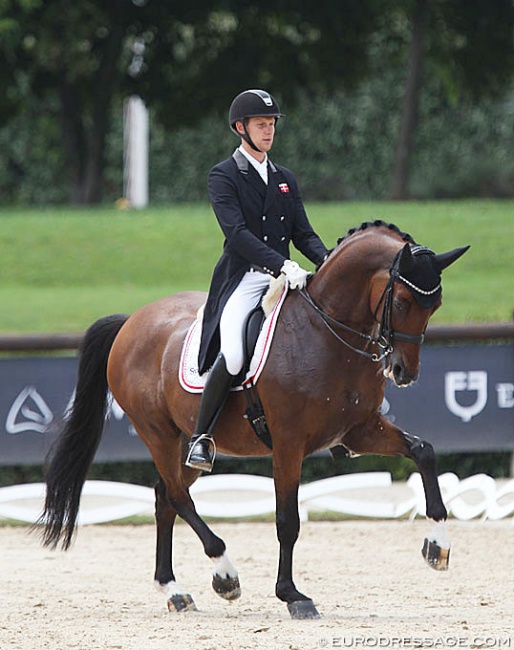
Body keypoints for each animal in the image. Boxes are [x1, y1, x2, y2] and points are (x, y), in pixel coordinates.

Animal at [37, 221, 468, 616]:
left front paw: (438, 546)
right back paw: (224, 575)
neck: (326, 331)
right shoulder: (289, 443)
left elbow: (423, 450)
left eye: (435, 306)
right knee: (176, 496)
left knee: (165, 497)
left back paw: (174, 590)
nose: (403, 372)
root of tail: (131, 321)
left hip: (187, 441)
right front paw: (292, 595)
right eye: (403, 302)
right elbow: (287, 520)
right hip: (157, 433)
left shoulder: (360, 431)